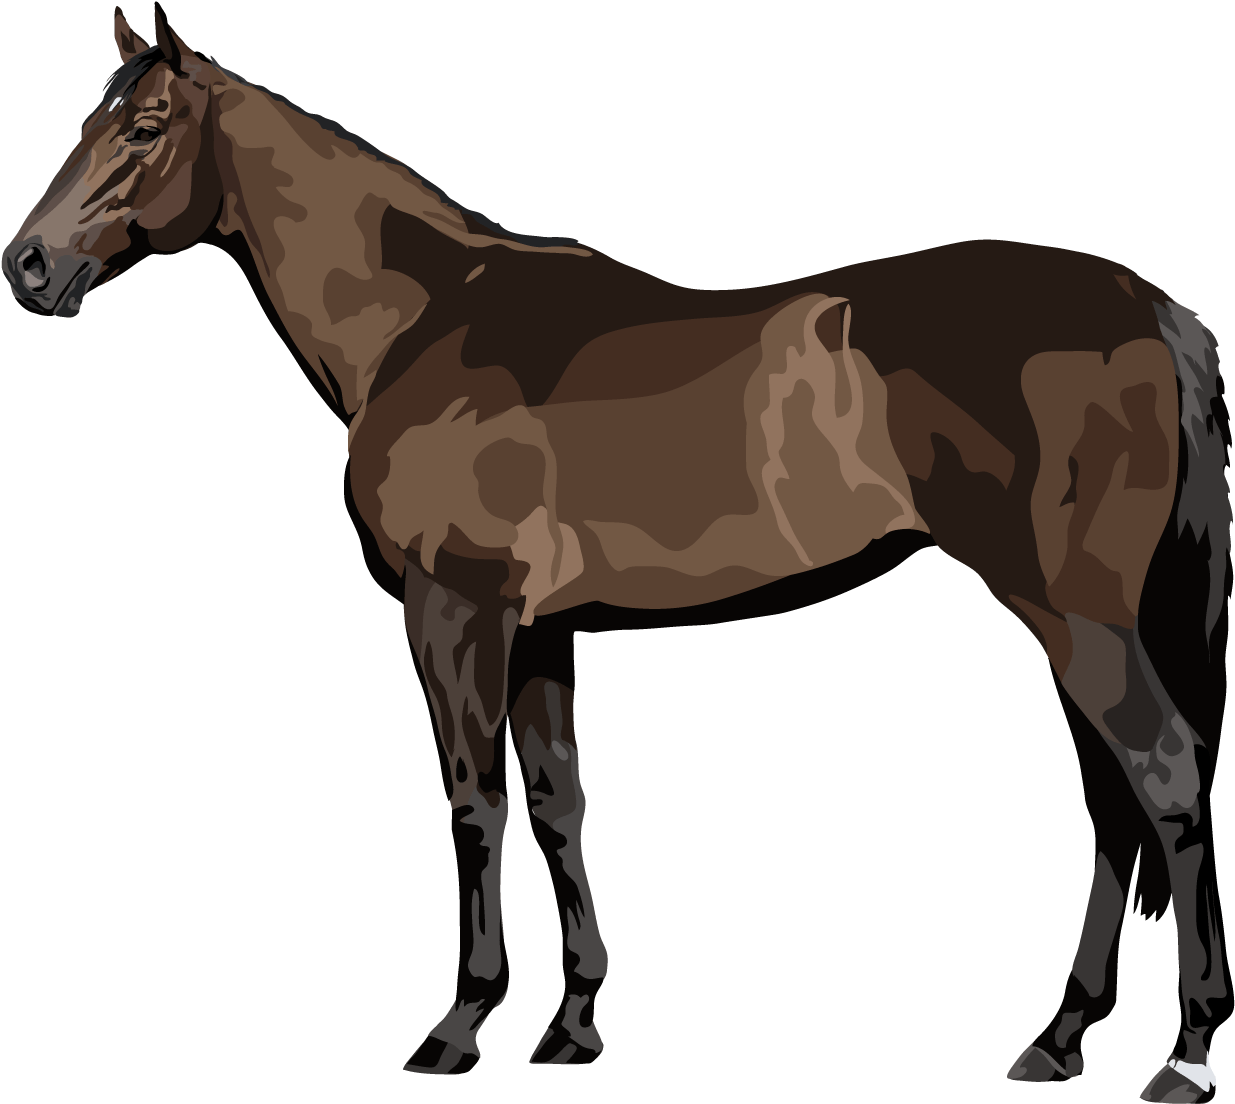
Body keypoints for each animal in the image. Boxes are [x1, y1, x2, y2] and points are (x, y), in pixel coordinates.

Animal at [6, 6, 1228, 1095]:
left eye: (145, 126)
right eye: (88, 119)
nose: (24, 265)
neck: (419, 319)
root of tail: (1148, 305)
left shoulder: (453, 606)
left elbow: (476, 803)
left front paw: (457, 1028)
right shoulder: (541, 628)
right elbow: (559, 804)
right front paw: (573, 1030)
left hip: (1070, 609)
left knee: (1161, 774)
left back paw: (1184, 1060)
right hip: (1066, 617)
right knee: (1112, 801)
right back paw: (1053, 1044)